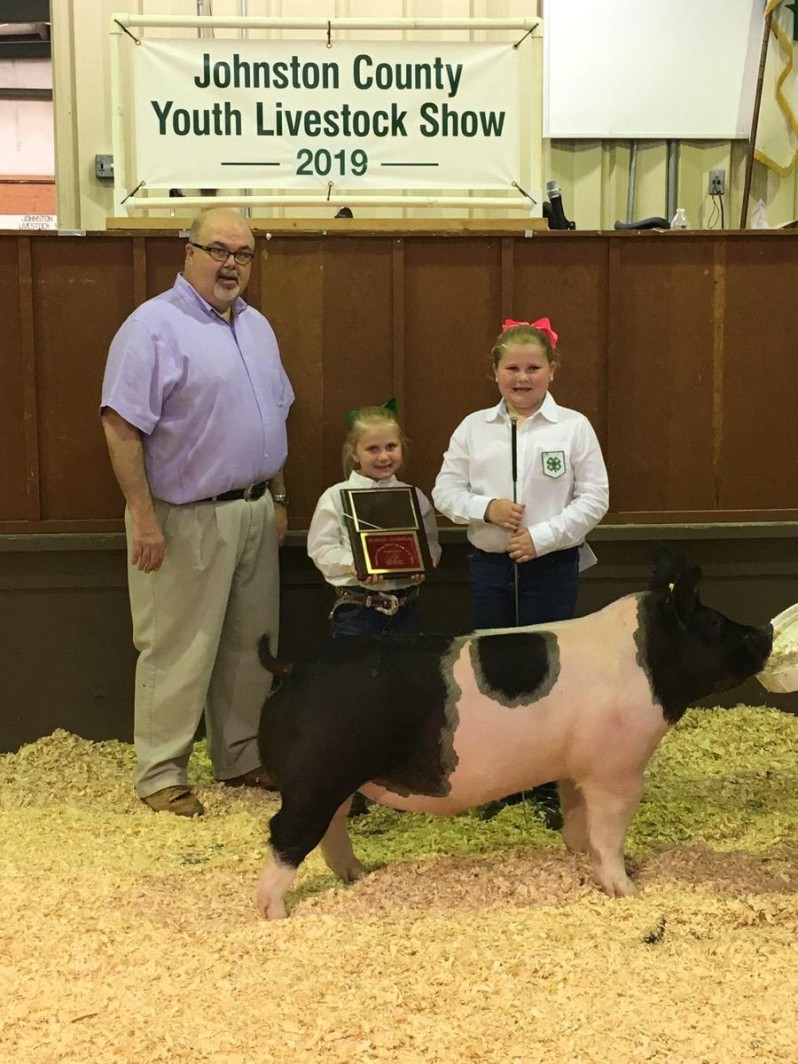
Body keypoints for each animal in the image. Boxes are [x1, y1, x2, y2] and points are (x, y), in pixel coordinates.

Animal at [253, 553, 770, 919]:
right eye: (716, 623)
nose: (763, 631)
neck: (648, 662)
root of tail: (294, 668)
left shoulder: (575, 770)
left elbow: (579, 818)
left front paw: (577, 854)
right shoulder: (616, 769)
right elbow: (610, 832)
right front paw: (627, 890)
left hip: (333, 783)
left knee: (332, 830)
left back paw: (359, 875)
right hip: (314, 779)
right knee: (286, 833)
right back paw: (276, 914)